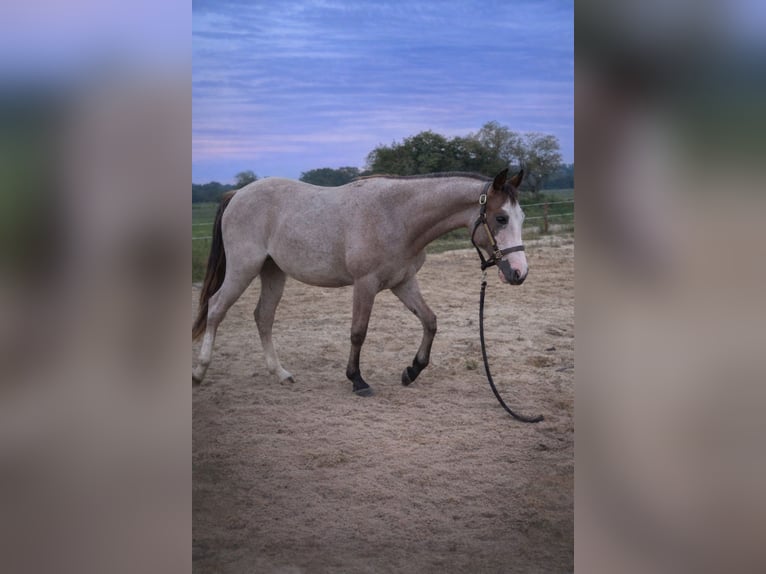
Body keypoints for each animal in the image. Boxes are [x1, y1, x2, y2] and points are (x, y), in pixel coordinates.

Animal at [192, 168, 527, 396]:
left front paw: (412, 371)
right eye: (500, 218)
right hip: (243, 268)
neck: (398, 216)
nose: (519, 272)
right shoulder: (365, 285)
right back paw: (199, 372)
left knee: (263, 316)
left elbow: (430, 321)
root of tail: (237, 194)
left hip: (272, 271)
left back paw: (281, 373)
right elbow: (358, 332)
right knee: (216, 308)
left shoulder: (403, 282)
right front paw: (357, 380)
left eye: (521, 218)